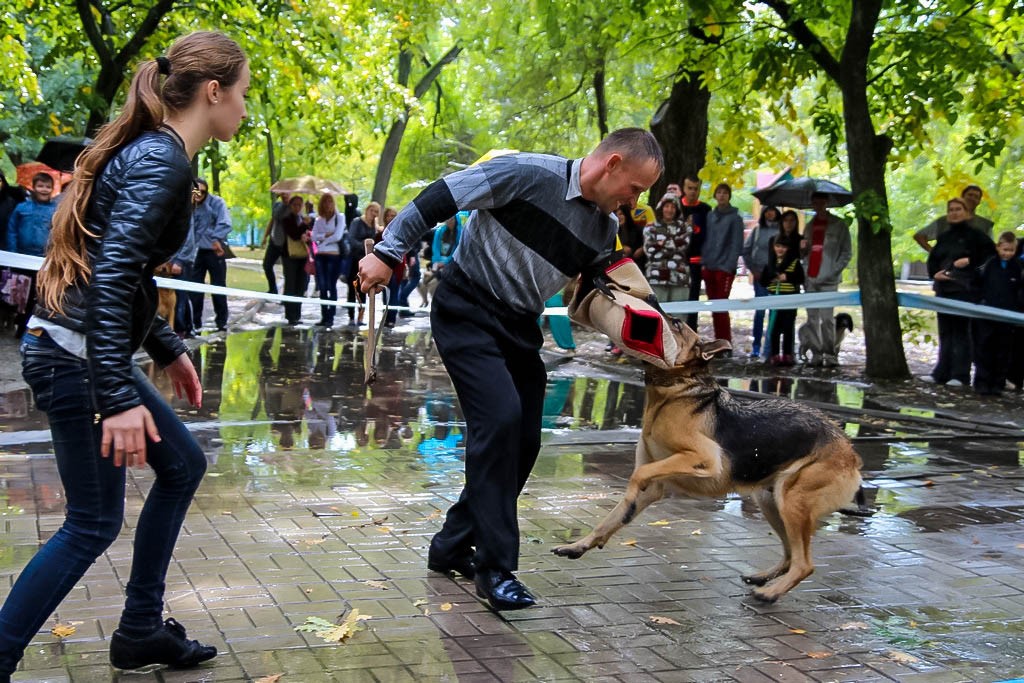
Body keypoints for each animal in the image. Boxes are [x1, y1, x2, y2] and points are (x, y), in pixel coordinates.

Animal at [552, 315, 864, 602]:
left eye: (677, 325)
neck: (674, 392)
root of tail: (849, 450)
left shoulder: (704, 459)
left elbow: (637, 477)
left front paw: (627, 499)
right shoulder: (655, 485)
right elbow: (609, 519)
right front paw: (581, 544)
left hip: (792, 502)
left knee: (804, 564)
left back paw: (770, 592)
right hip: (771, 501)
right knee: (790, 555)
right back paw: (765, 578)